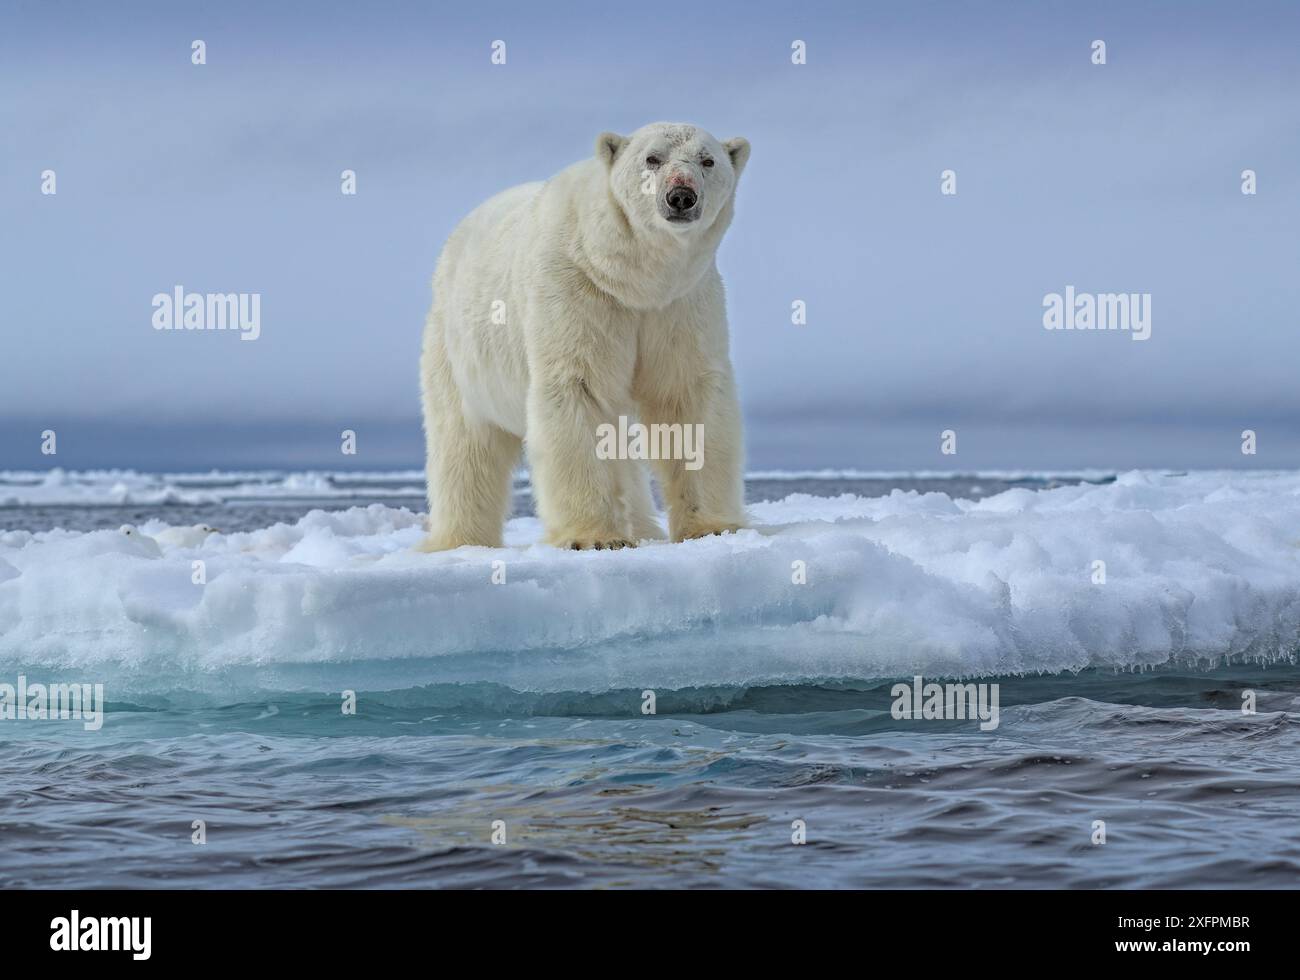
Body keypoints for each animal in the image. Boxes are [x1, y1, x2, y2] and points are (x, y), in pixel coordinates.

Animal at [421, 122, 748, 551]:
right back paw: (459, 541)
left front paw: (712, 527)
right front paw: (594, 537)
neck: (633, 278)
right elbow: (579, 388)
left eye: (707, 160)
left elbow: (686, 396)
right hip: (458, 349)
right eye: (652, 158)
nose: (681, 195)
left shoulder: (679, 303)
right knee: (464, 443)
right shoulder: (578, 289)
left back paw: (642, 528)